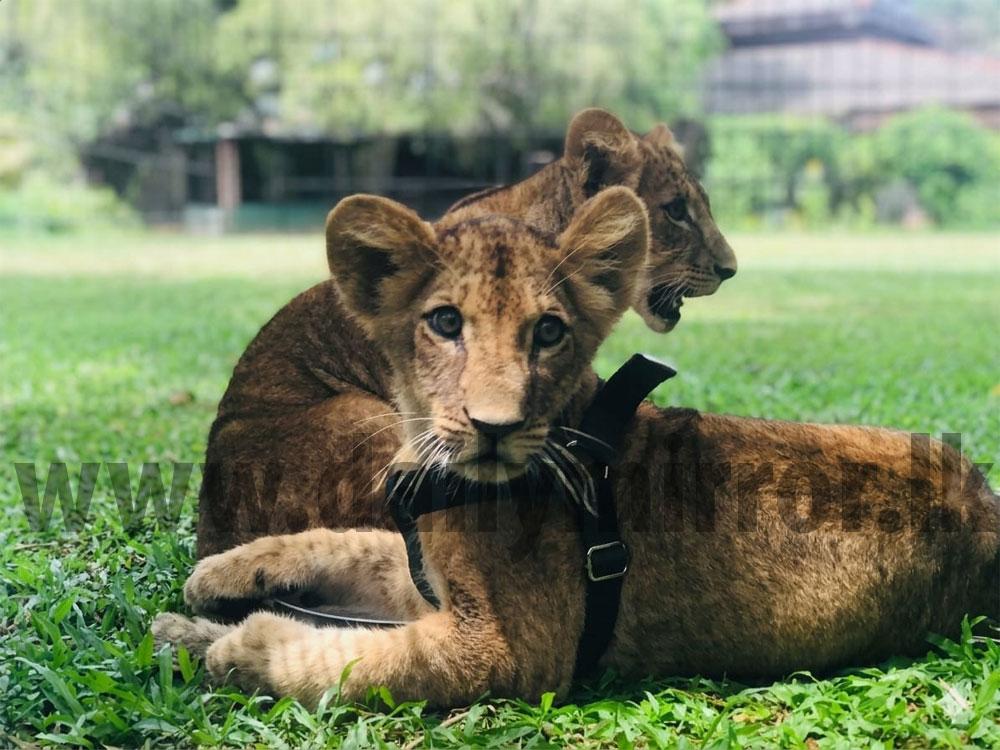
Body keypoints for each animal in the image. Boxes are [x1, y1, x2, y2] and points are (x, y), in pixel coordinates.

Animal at [157, 190, 998, 708]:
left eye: (549, 332)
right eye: (446, 323)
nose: (494, 426)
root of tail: (986, 509)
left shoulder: (506, 652)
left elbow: (347, 659)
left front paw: (237, 646)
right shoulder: (427, 579)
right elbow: (342, 543)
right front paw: (209, 592)